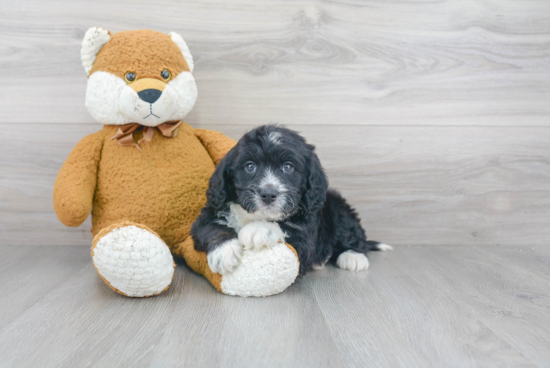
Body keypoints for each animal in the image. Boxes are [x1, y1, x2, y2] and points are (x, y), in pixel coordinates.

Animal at [192, 125, 394, 274]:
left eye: (288, 167)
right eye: (250, 166)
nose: (268, 194)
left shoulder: (306, 237)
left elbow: (288, 227)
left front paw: (258, 229)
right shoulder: (208, 214)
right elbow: (210, 227)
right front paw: (224, 252)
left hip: (337, 207)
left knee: (353, 235)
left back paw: (353, 256)